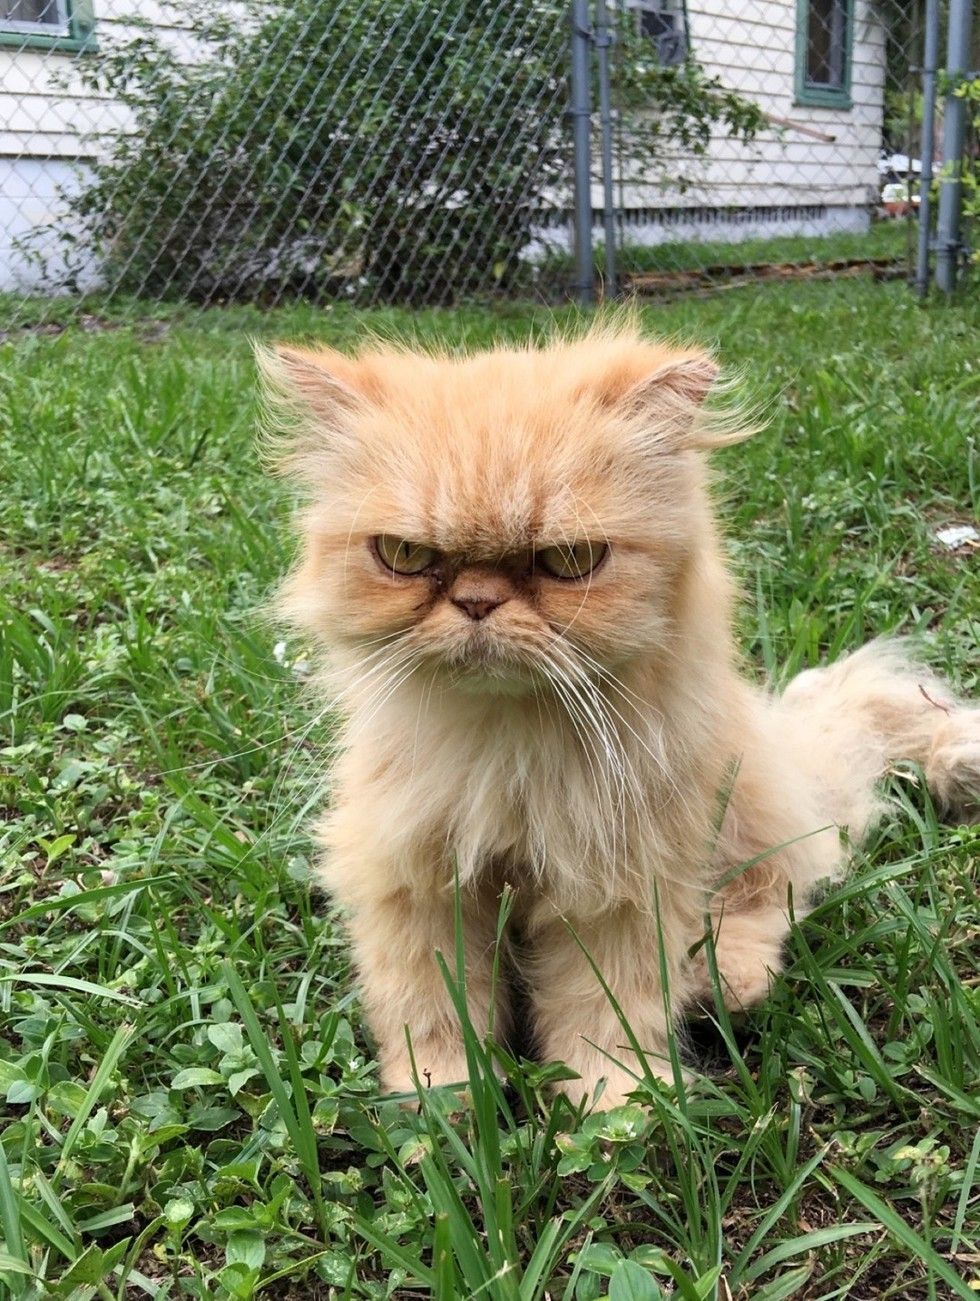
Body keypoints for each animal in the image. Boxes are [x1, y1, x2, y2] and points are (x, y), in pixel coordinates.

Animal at [257, 325, 978, 1108]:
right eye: (406, 556)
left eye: (570, 560)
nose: (477, 603)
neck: (506, 746)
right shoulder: (413, 879)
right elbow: (432, 1010)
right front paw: (443, 1103)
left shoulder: (620, 887)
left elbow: (603, 1015)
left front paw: (617, 1108)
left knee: (775, 889)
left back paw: (721, 979)